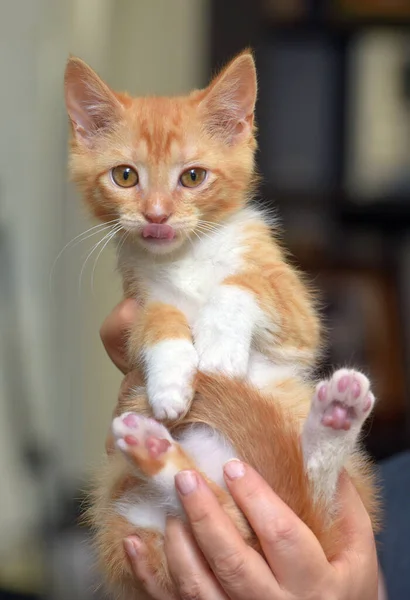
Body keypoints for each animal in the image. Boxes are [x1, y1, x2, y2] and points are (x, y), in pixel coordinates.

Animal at [65, 51, 382, 600]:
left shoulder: (296, 309)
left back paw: (334, 420)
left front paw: (217, 349)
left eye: (193, 177)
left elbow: (241, 286)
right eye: (125, 176)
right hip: (129, 521)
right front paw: (171, 379)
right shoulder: (138, 298)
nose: (156, 215)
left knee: (305, 495)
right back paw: (155, 451)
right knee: (213, 505)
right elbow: (158, 317)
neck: (187, 257)